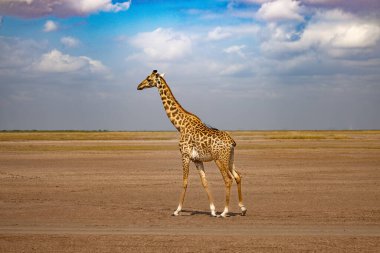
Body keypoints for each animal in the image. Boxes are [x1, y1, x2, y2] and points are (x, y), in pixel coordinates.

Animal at [137, 69, 246, 217]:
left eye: (148, 79)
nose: (139, 86)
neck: (180, 125)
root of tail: (232, 142)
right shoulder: (197, 159)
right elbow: (204, 182)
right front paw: (212, 210)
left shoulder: (185, 155)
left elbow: (185, 181)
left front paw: (177, 210)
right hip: (230, 158)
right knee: (238, 176)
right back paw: (242, 208)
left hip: (220, 159)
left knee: (228, 179)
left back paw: (224, 211)